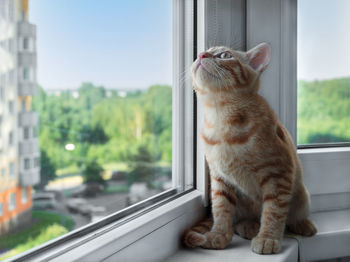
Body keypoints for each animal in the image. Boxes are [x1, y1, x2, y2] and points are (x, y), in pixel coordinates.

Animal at [183, 43, 318, 254]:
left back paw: (301, 224)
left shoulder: (278, 174)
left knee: (291, 217)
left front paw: (268, 238)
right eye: (201, 53)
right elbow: (221, 208)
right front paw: (219, 234)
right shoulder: (219, 177)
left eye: (224, 55)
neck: (220, 118)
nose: (201, 55)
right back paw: (248, 225)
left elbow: (274, 210)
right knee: (240, 220)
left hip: (303, 196)